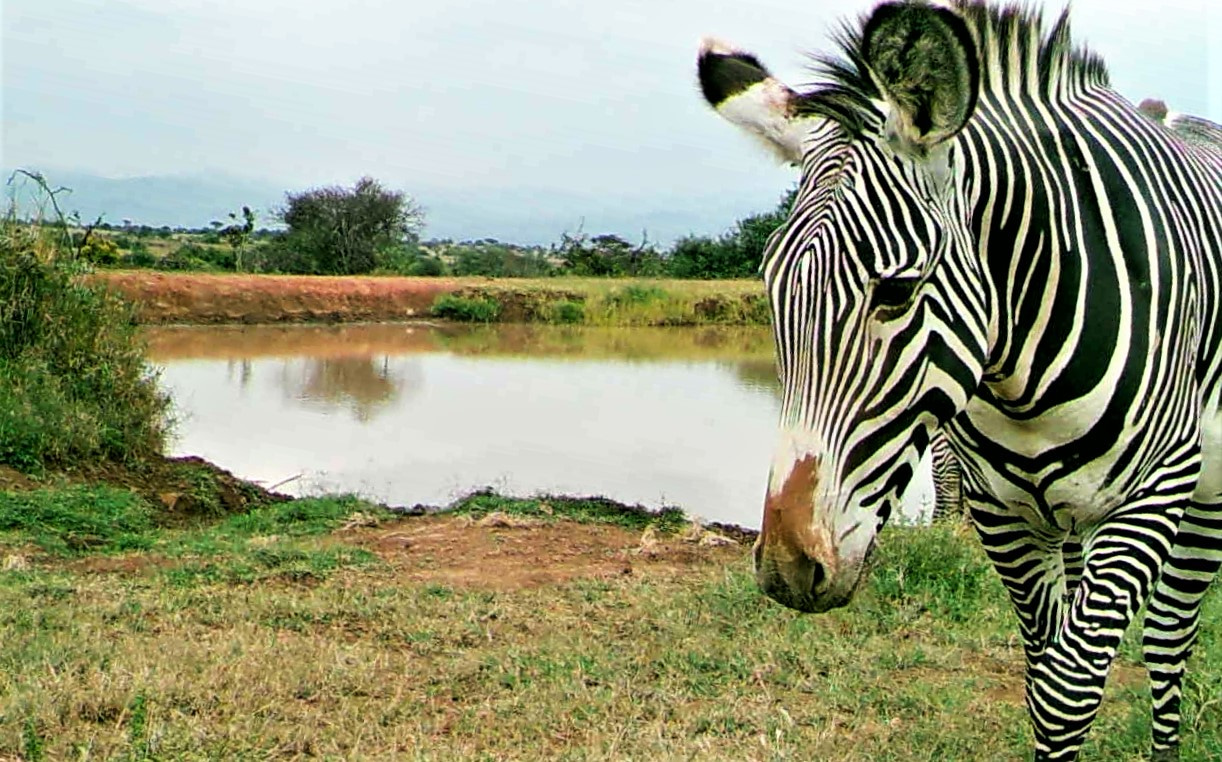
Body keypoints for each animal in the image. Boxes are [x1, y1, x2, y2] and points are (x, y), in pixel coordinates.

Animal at [694, 1, 1222, 760]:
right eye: (771, 288)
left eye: (895, 291)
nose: (789, 572)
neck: (1022, 380)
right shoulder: (1002, 509)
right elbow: (1043, 682)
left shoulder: (1151, 495)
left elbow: (1068, 694)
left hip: (1202, 491)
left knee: (1169, 638)